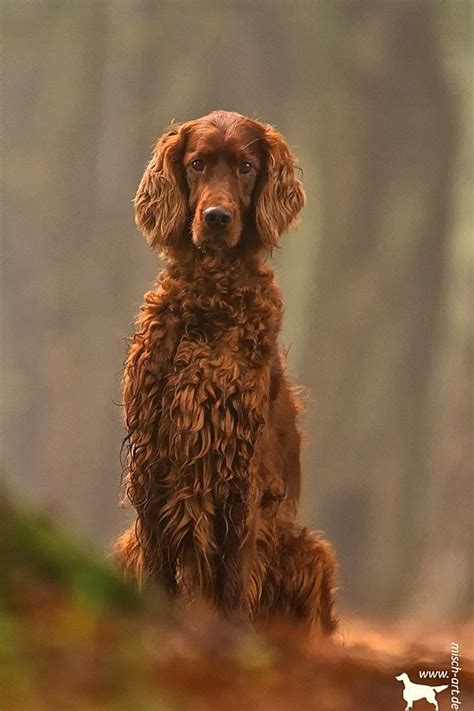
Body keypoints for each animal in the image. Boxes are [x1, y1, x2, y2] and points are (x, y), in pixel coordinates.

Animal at [115, 110, 336, 636]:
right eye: (197, 164)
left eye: (246, 167)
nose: (217, 217)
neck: (210, 302)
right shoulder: (152, 463)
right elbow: (158, 571)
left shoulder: (240, 472)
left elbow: (235, 580)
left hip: (308, 551)